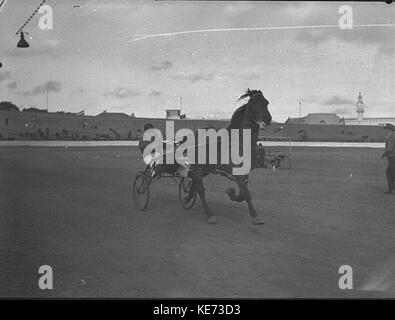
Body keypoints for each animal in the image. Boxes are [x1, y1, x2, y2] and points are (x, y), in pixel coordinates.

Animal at [182, 89, 272, 225]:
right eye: (255, 102)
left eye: (266, 102)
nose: (267, 118)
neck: (241, 142)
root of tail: (195, 133)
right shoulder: (237, 172)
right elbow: (246, 193)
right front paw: (255, 216)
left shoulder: (244, 173)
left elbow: (243, 194)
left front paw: (231, 193)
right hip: (198, 167)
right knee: (201, 189)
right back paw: (209, 214)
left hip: (206, 168)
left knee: (195, 184)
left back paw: (188, 197)